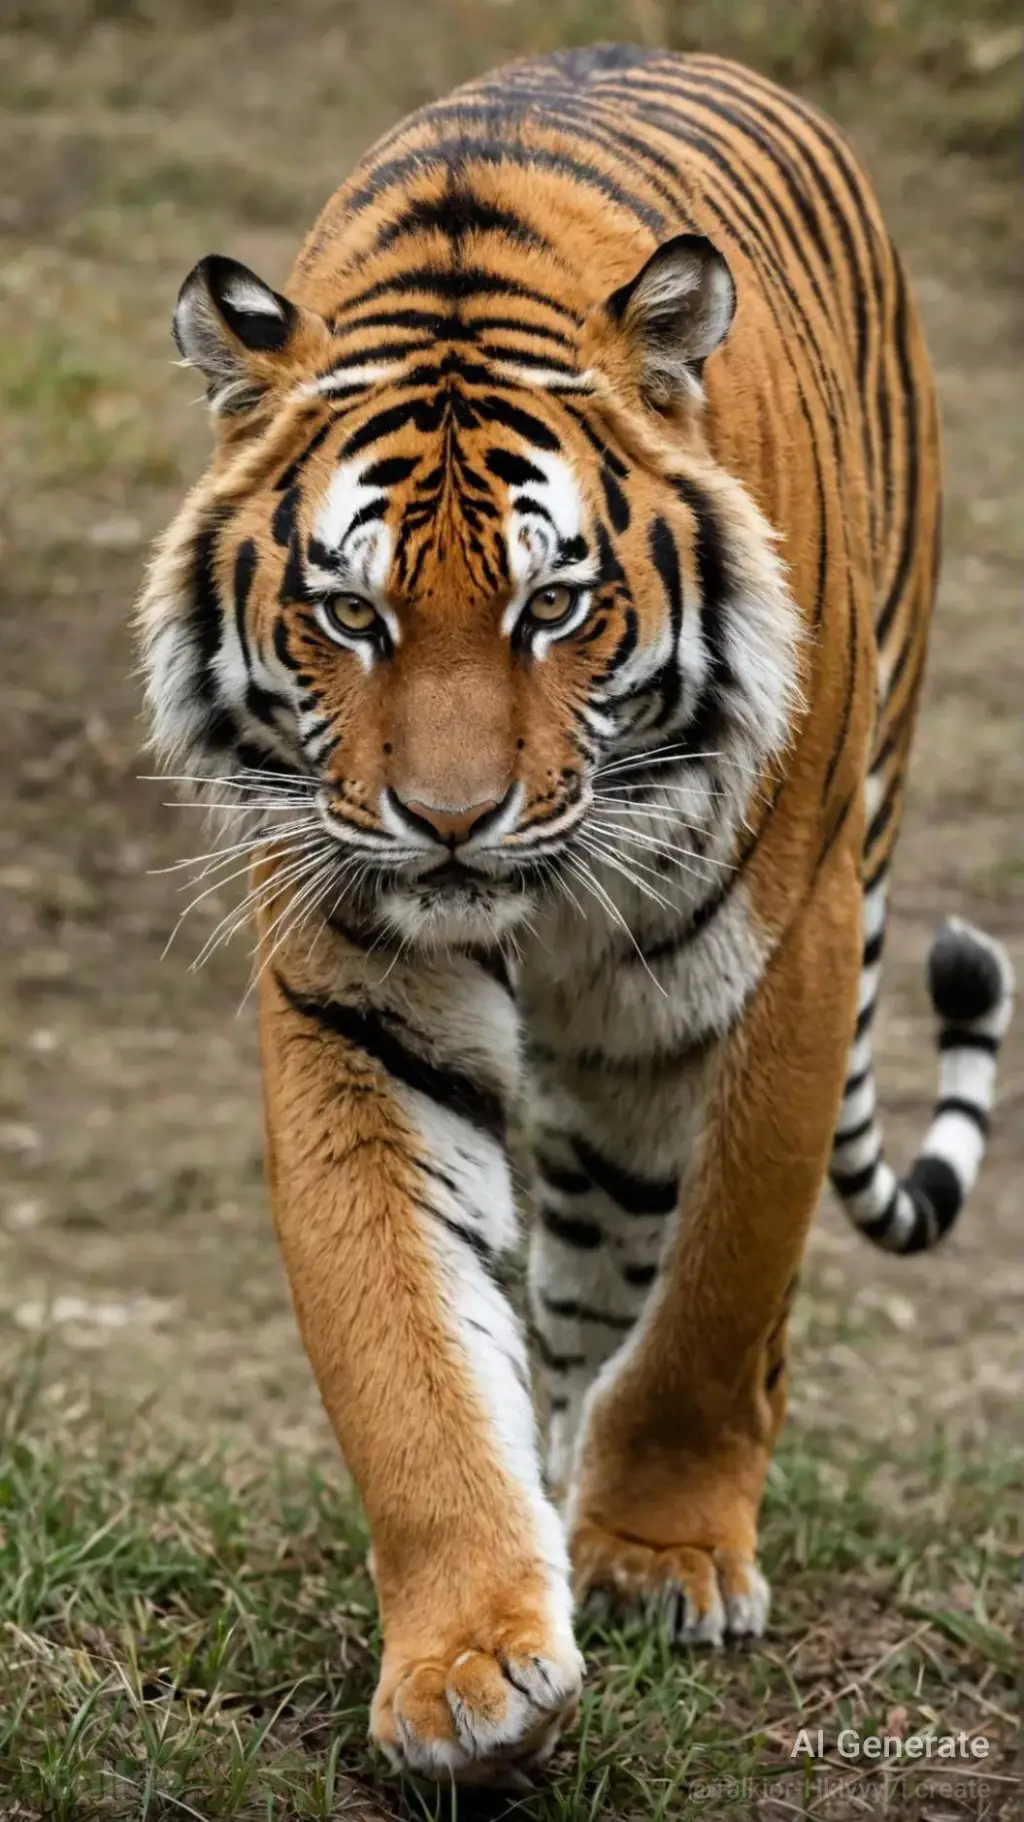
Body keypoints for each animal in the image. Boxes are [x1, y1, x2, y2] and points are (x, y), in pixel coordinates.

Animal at [138, 43, 1014, 1785]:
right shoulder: (352, 991)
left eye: (555, 603)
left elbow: (717, 1292)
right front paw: (472, 1657)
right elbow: (406, 1340)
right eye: (352, 612)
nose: (450, 819)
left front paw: (661, 1555)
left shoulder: (783, 954)